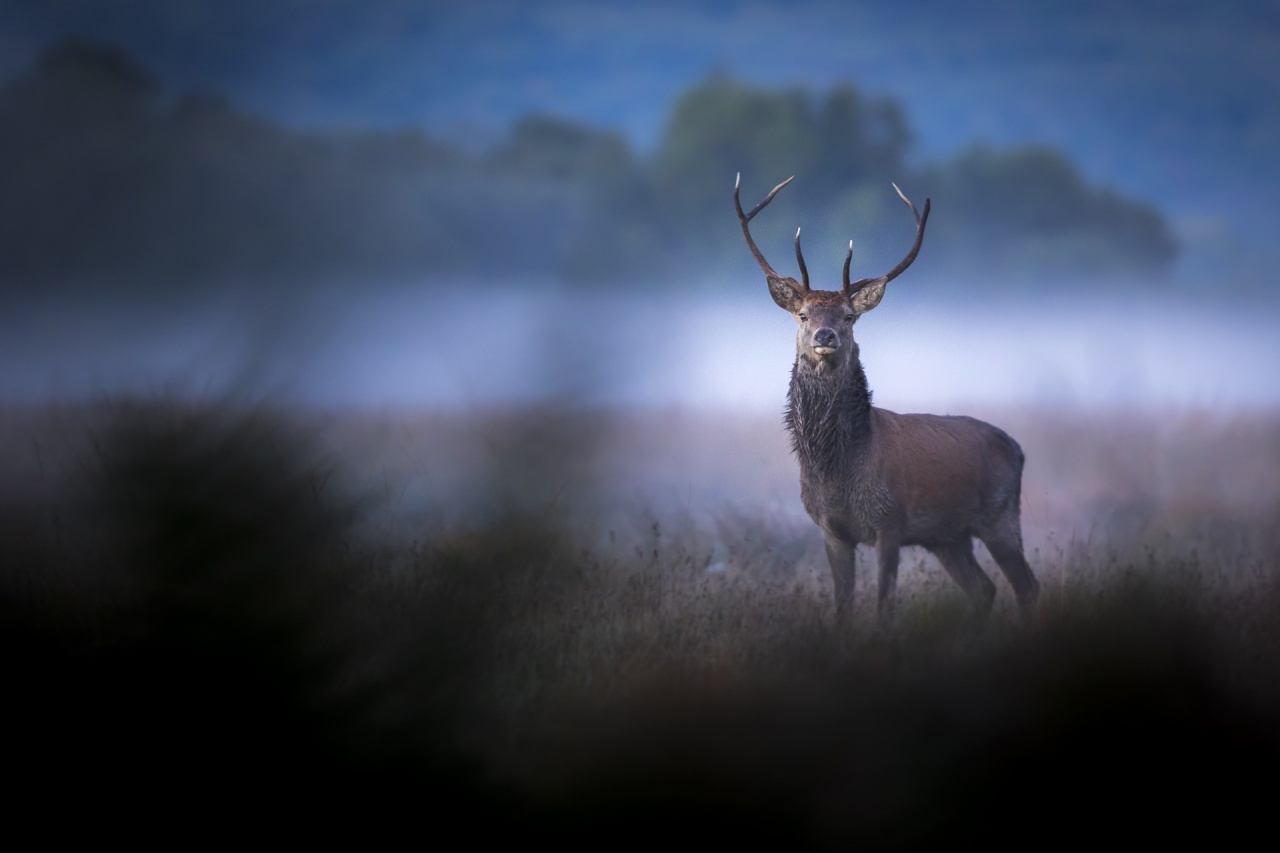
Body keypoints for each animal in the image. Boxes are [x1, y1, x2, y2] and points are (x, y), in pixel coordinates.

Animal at [735, 173, 1040, 623]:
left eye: (848, 316)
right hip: (948, 537)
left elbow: (884, 606)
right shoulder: (830, 529)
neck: (838, 470)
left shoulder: (890, 520)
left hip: (999, 514)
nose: (825, 335)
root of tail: (1017, 448)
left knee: (1027, 586)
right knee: (984, 588)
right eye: (803, 315)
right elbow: (843, 608)